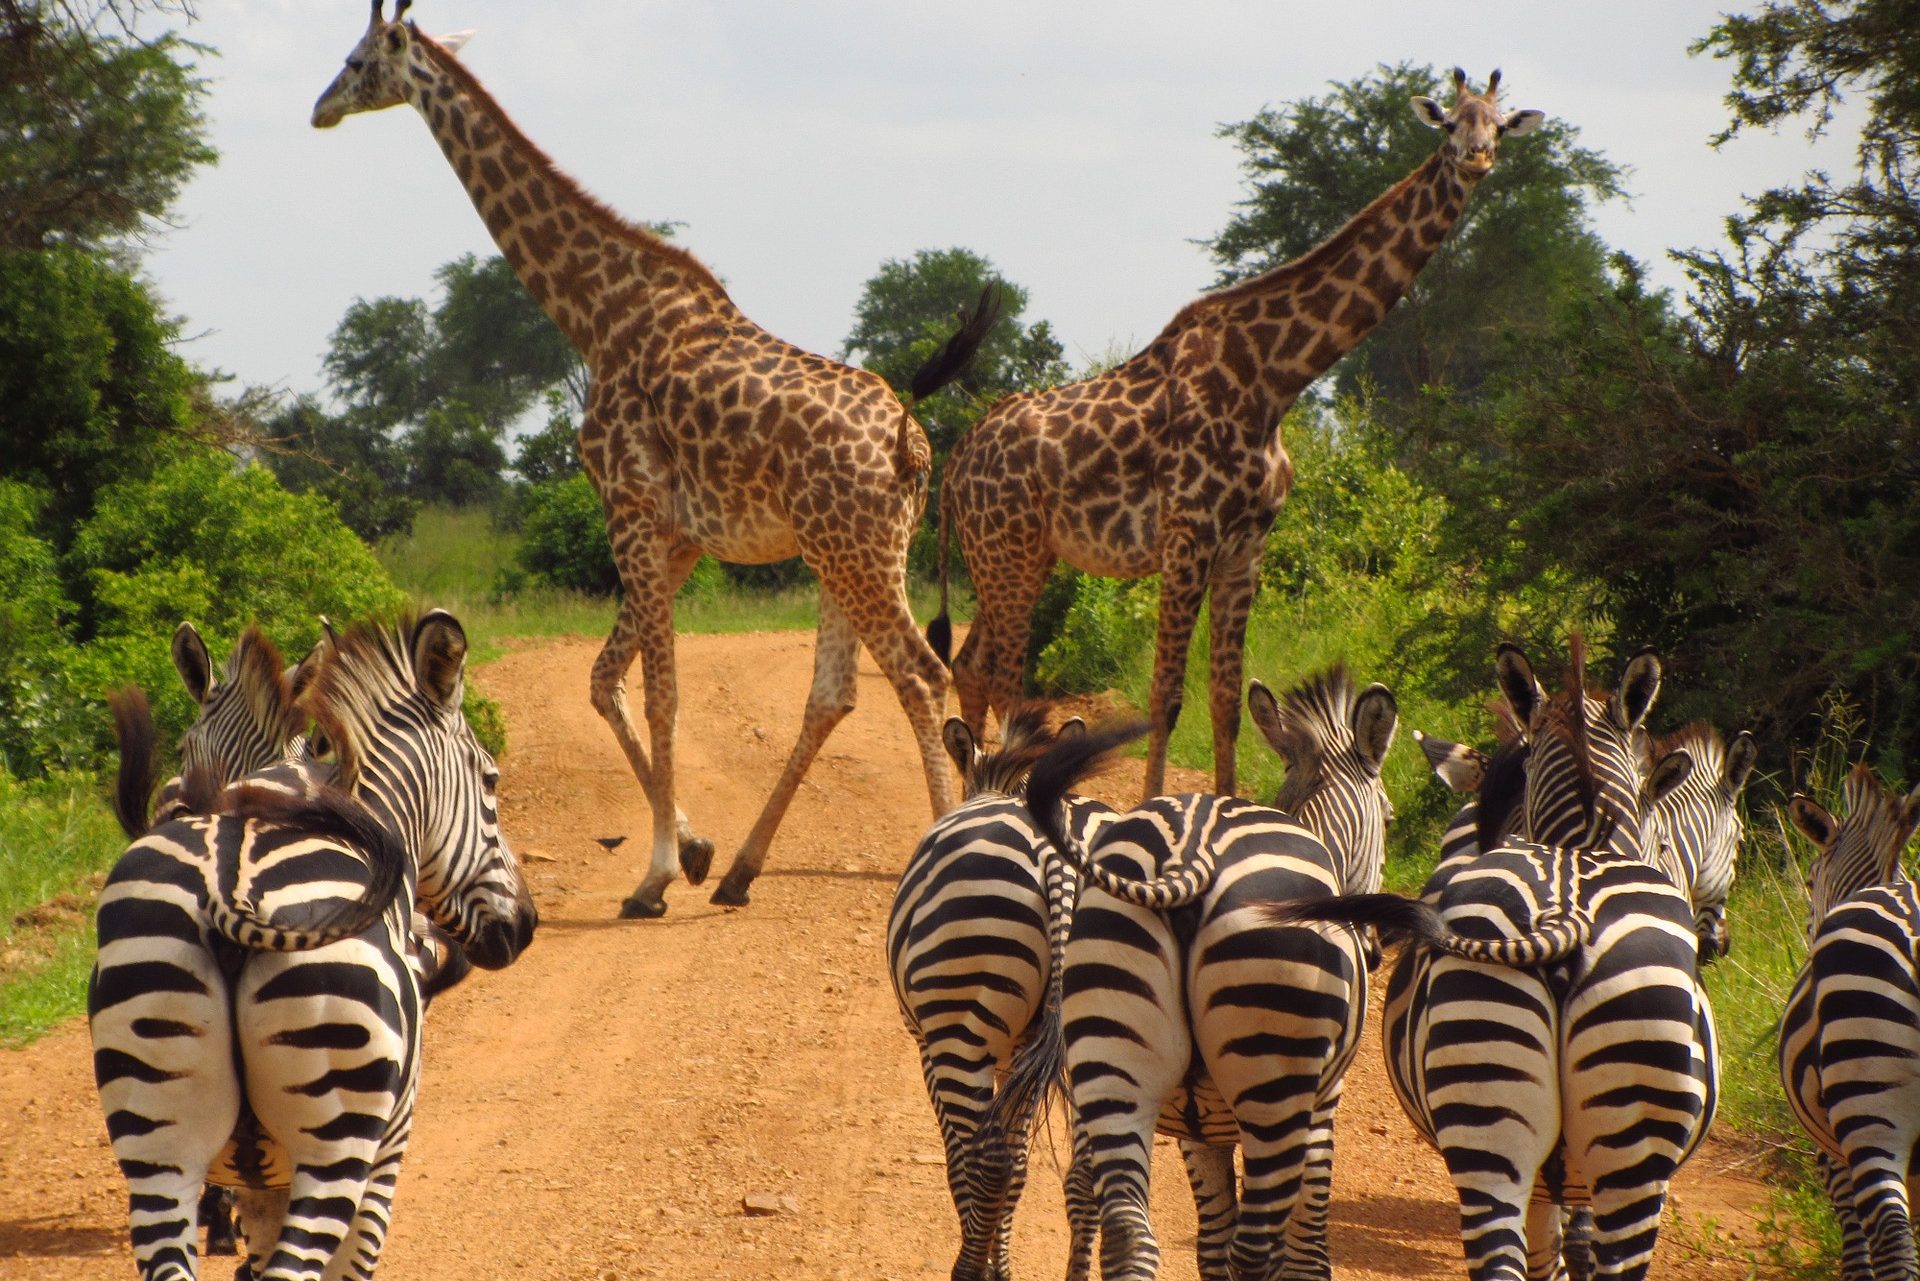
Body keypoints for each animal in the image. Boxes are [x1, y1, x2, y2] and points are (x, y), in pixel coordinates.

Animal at [89, 610, 537, 1281]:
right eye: (490, 780)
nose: (526, 924)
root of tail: (229, 889)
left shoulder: (262, 1181)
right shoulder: (387, 1149)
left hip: (156, 1143)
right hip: (337, 1135)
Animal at [888, 707, 1115, 1281]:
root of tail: (1059, 856)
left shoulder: (929, 1048)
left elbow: (962, 1165)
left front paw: (993, 1264)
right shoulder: (1019, 1055)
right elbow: (1018, 1167)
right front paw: (1002, 1263)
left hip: (959, 1024)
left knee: (984, 1163)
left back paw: (966, 1270)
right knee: (1083, 1173)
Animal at [998, 665, 1397, 1281]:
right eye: (1392, 817)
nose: (1376, 951)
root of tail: (1192, 853)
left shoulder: (1197, 1131)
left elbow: (1212, 1248)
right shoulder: (1322, 1108)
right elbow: (1303, 1253)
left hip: (1115, 1062)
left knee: (1130, 1237)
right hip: (1275, 1084)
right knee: (1254, 1249)